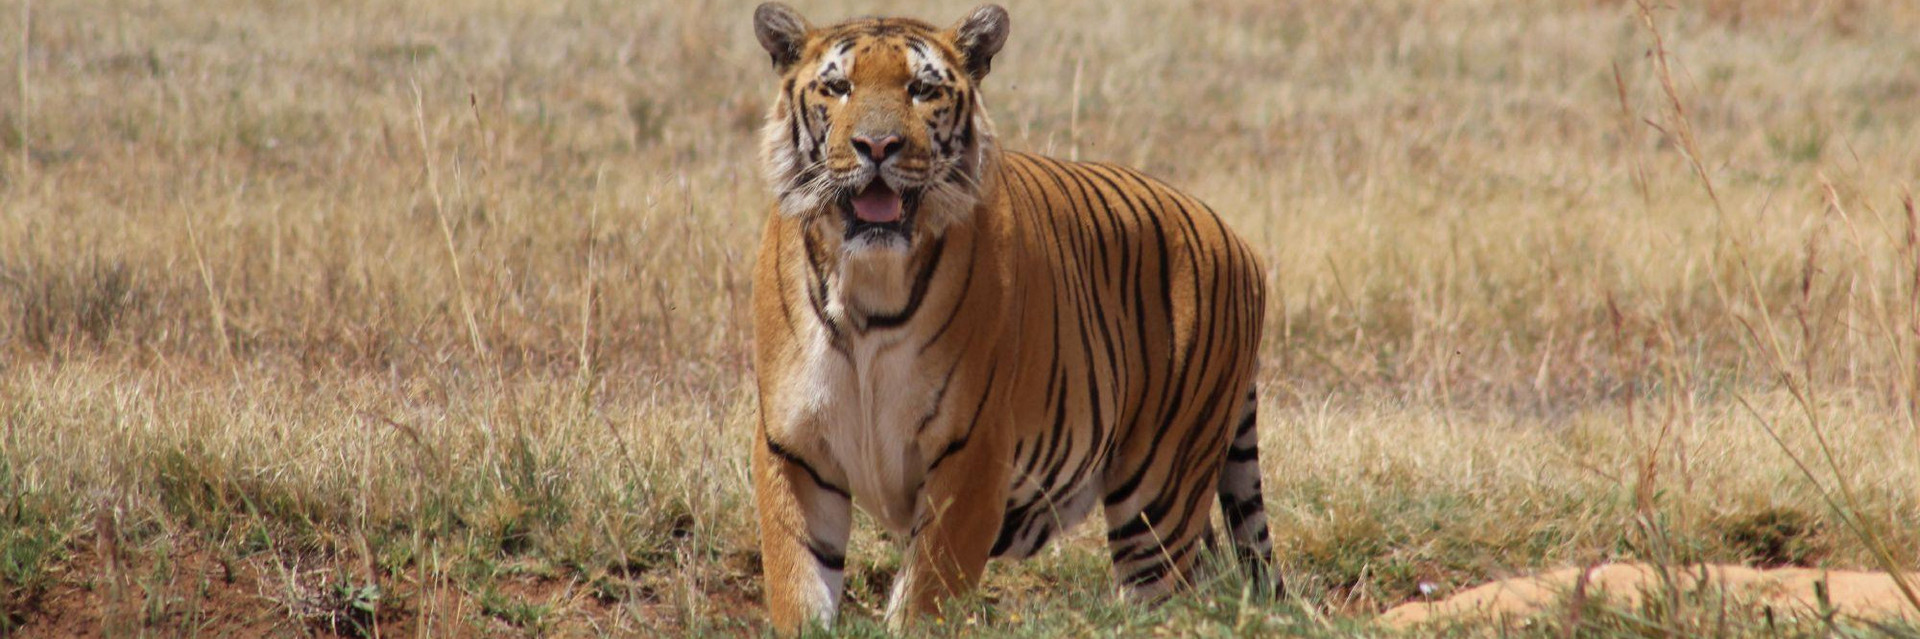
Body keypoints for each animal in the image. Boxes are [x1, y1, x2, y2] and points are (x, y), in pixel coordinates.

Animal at [748, 3, 1275, 632]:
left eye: (921, 89)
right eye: (838, 87)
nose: (877, 145)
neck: (867, 282)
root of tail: (1240, 241)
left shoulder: (972, 451)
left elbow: (926, 595)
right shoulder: (792, 447)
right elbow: (797, 584)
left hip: (1160, 495)